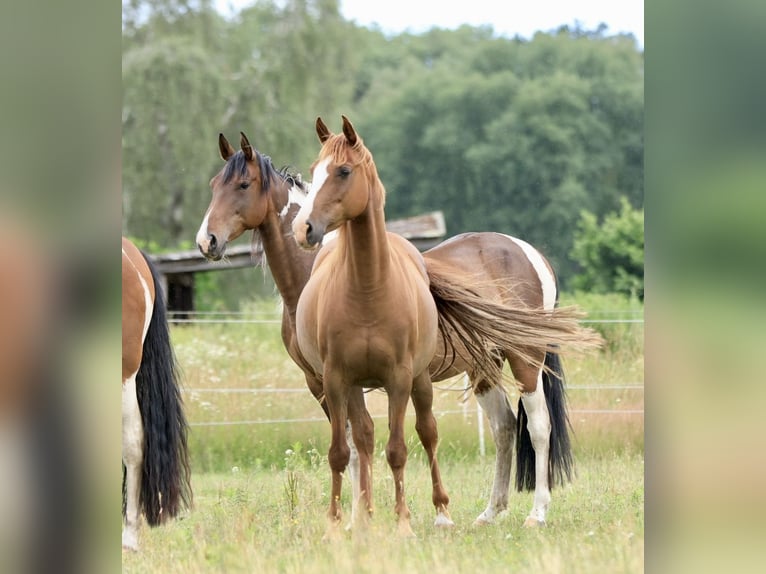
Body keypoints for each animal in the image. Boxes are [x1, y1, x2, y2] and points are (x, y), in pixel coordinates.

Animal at [195, 128, 602, 530]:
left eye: (243, 184)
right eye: (214, 185)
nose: (207, 241)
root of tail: (527, 251)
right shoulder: (324, 382)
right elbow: (356, 444)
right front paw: (358, 516)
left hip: (525, 361)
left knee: (538, 426)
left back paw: (537, 513)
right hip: (483, 368)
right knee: (504, 428)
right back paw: (490, 512)